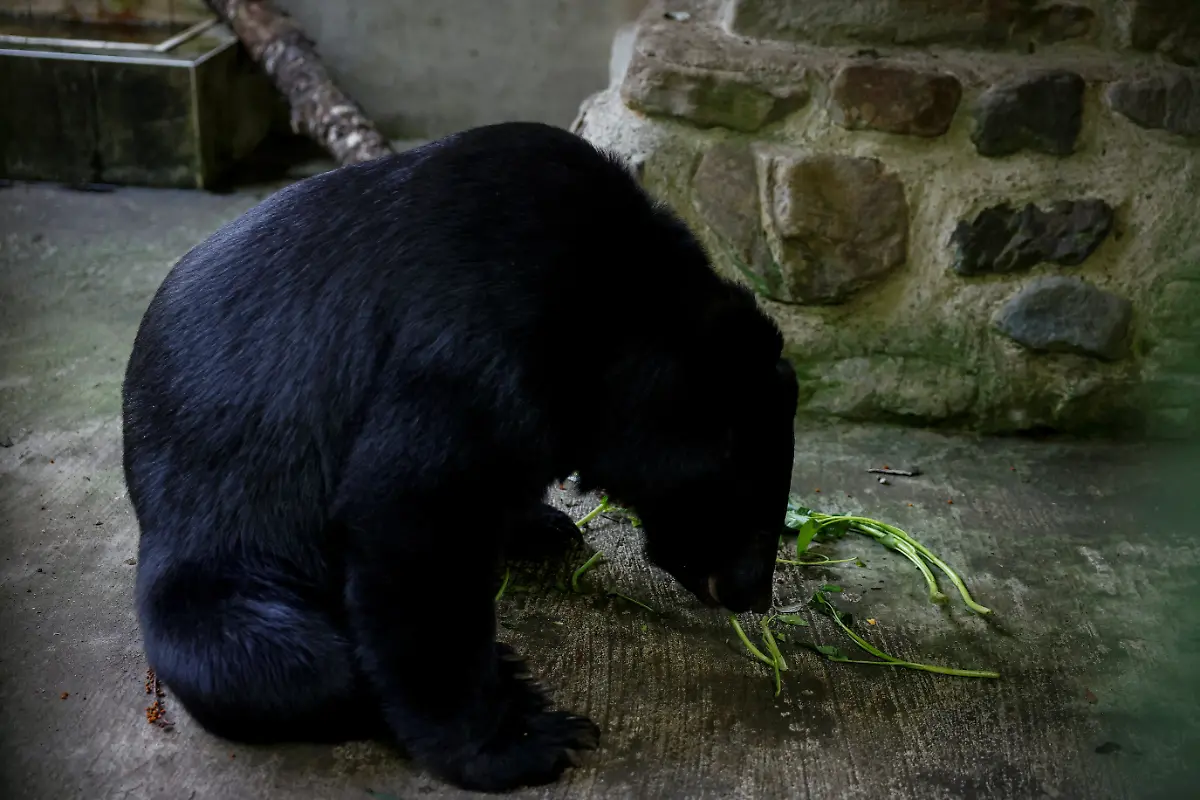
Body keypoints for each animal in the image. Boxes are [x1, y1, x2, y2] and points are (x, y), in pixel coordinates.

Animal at [121, 121, 800, 792]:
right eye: (747, 505)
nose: (752, 594)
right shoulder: (478, 341)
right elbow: (416, 516)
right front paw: (524, 742)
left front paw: (542, 525)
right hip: (216, 542)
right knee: (280, 659)